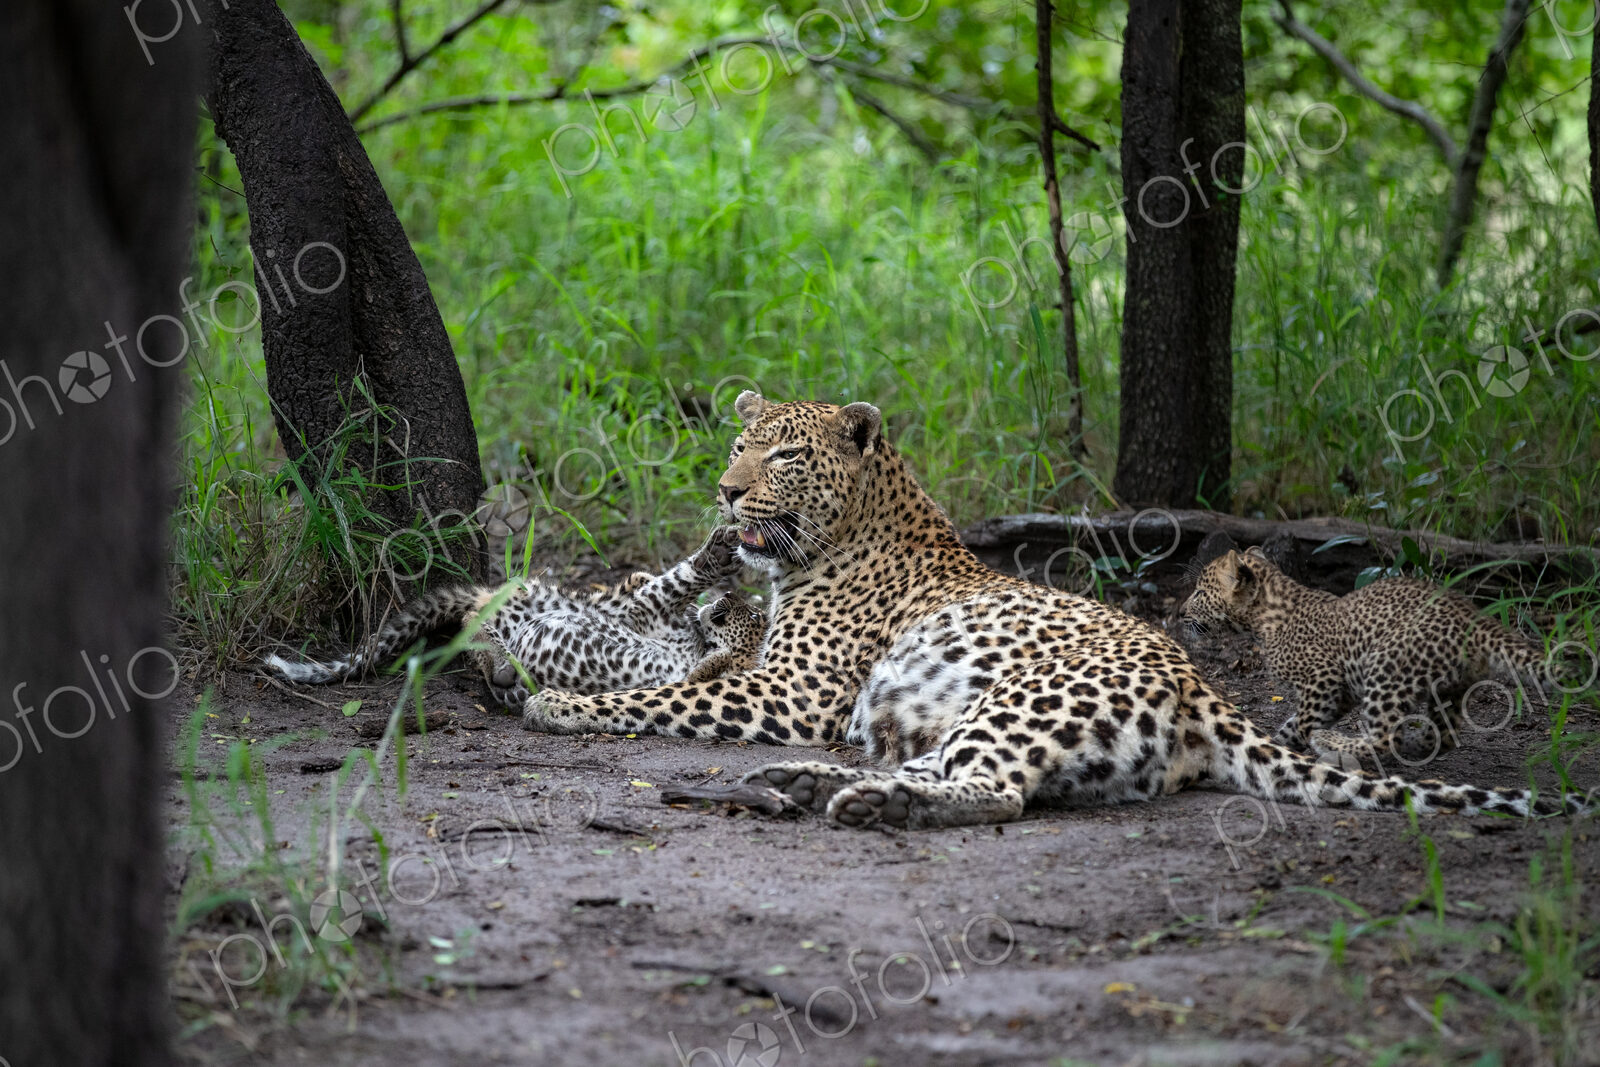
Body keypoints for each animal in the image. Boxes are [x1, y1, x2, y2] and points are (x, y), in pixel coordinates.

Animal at [265, 528, 762, 706]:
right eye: (754, 612)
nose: (730, 599)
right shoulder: (644, 614)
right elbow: (675, 582)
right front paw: (722, 551)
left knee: (471, 629)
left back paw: (503, 669)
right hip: (572, 603)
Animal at [1180, 546, 1560, 767]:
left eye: (1199, 592)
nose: (1181, 613)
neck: (1264, 617)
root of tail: (1473, 617)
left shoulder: (1323, 681)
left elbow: (1304, 722)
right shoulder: (1340, 693)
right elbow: (1291, 726)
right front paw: (1272, 746)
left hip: (1388, 668)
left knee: (1384, 738)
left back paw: (1334, 745)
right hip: (1448, 687)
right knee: (1442, 736)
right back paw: (1413, 744)